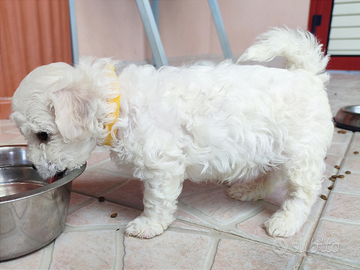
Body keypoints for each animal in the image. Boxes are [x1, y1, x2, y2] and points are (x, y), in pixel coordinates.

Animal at [11, 28, 334, 238]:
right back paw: (249, 190)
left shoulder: (161, 166)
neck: (119, 104)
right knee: (272, 174)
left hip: (301, 153)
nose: (34, 167)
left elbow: (156, 199)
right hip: (274, 146)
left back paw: (286, 222)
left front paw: (147, 226)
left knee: (303, 191)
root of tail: (306, 74)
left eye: (43, 135)